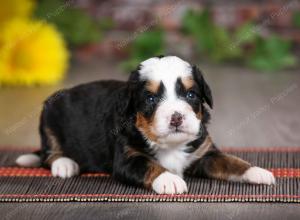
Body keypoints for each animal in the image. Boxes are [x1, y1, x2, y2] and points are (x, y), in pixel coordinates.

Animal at [15, 55, 274, 193]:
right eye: (150, 99)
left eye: (191, 95)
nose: (176, 117)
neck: (170, 145)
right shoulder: (127, 159)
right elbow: (150, 165)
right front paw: (170, 180)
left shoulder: (205, 153)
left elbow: (231, 161)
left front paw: (256, 171)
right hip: (48, 117)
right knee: (48, 154)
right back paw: (65, 164)